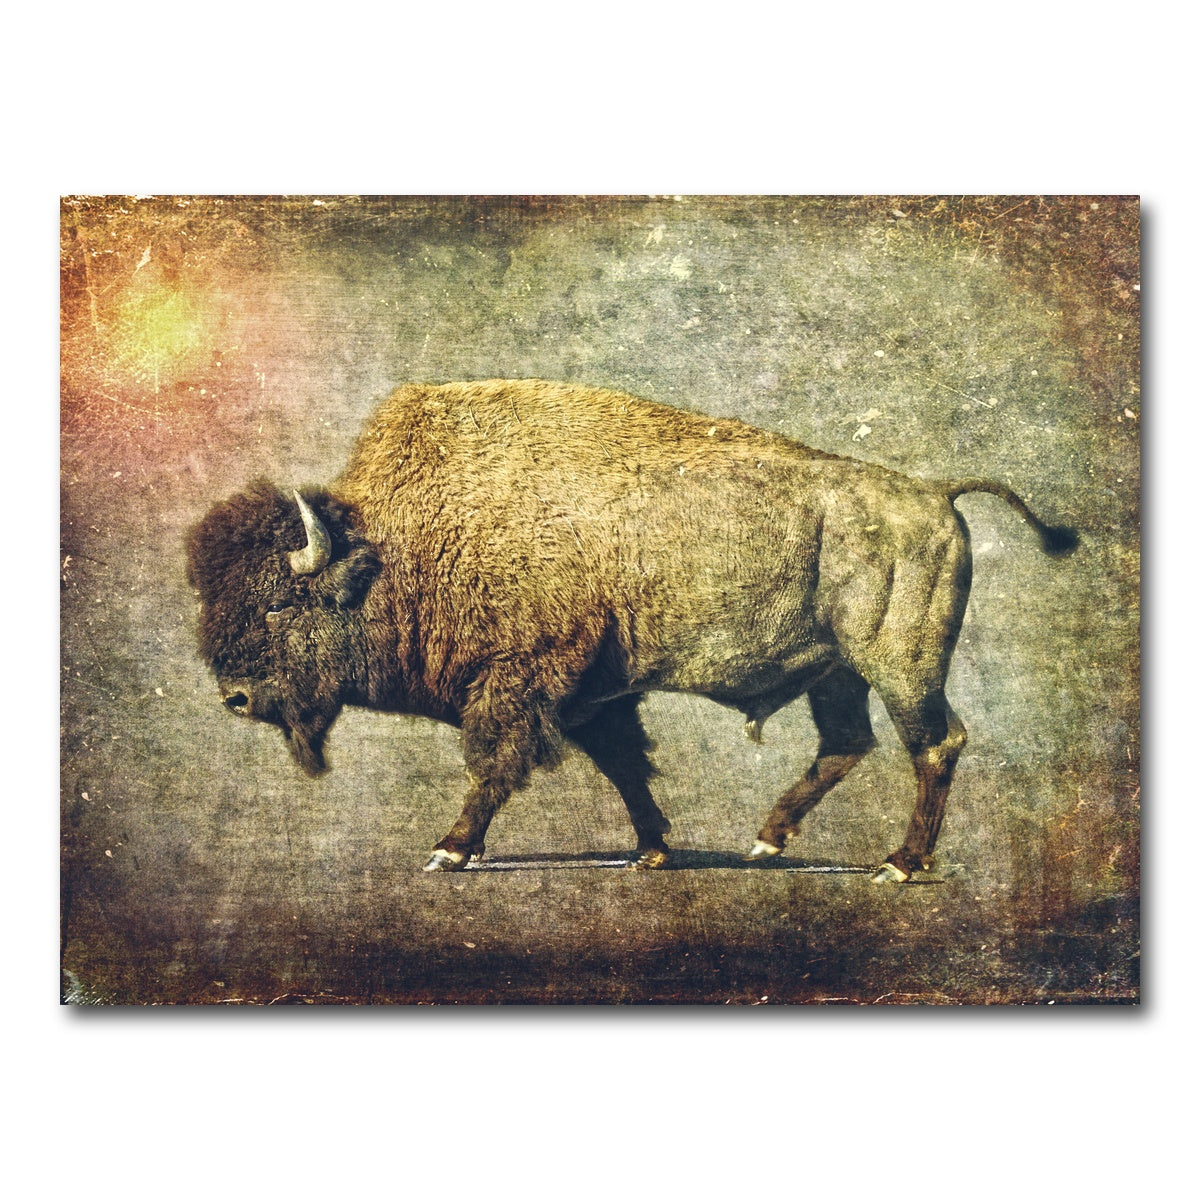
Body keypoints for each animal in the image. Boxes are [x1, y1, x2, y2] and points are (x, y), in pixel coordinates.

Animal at [187, 379, 1077, 879]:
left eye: (277, 603)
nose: (235, 698)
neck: (398, 546)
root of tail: (933, 492)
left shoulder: (521, 682)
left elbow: (494, 766)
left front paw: (449, 849)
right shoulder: (591, 694)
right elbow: (624, 765)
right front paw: (653, 850)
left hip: (900, 667)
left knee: (935, 744)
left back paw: (898, 866)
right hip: (838, 673)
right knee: (846, 744)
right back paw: (766, 842)